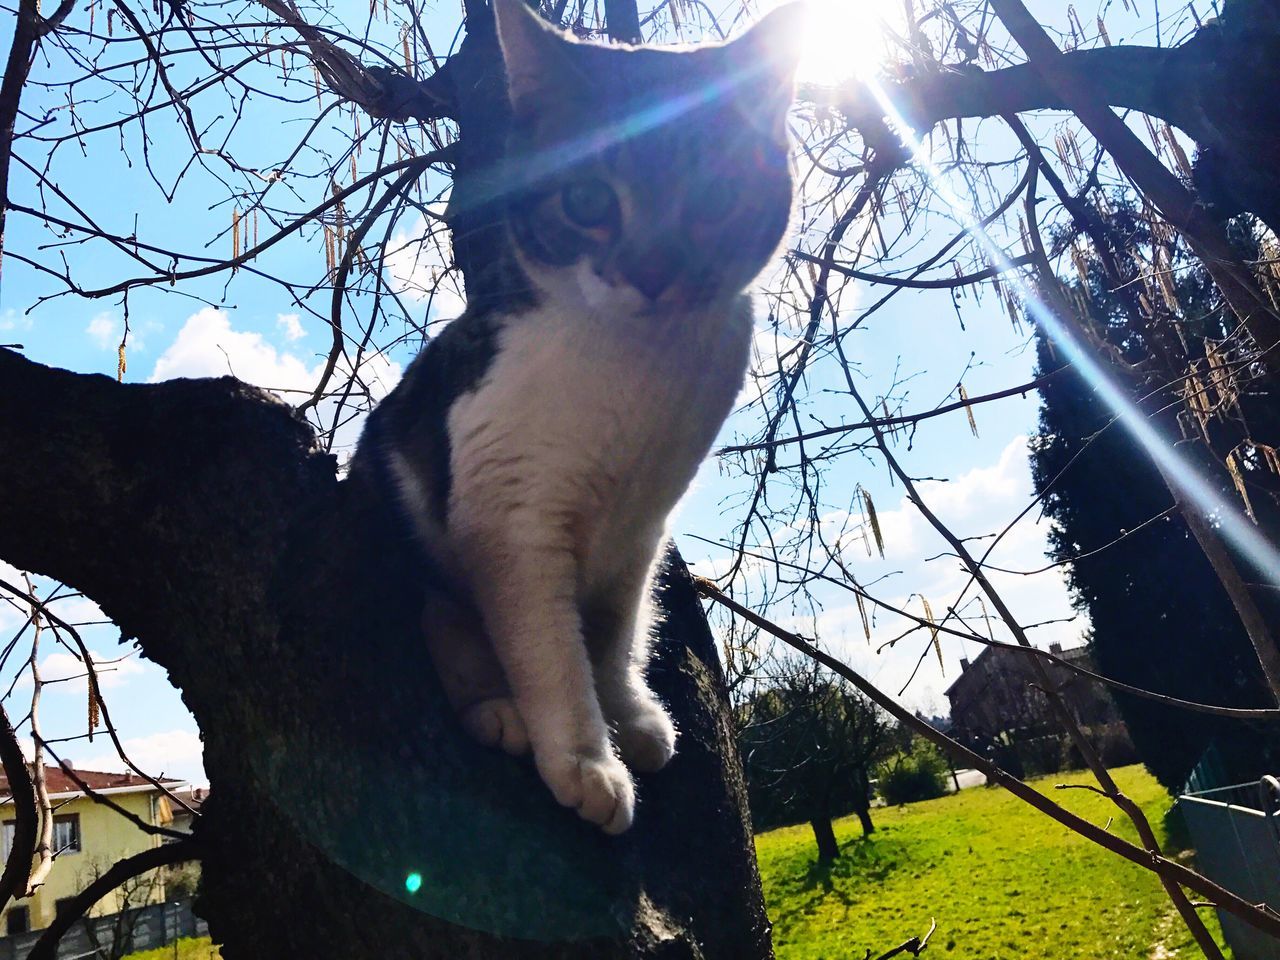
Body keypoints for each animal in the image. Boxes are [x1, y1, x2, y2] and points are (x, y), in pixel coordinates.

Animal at [353, 0, 798, 829]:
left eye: (715, 199)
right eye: (588, 201)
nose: (651, 272)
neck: (640, 364)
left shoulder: (644, 526)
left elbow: (615, 629)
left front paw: (629, 712)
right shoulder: (509, 513)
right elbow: (552, 652)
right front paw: (588, 762)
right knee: (446, 625)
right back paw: (497, 711)